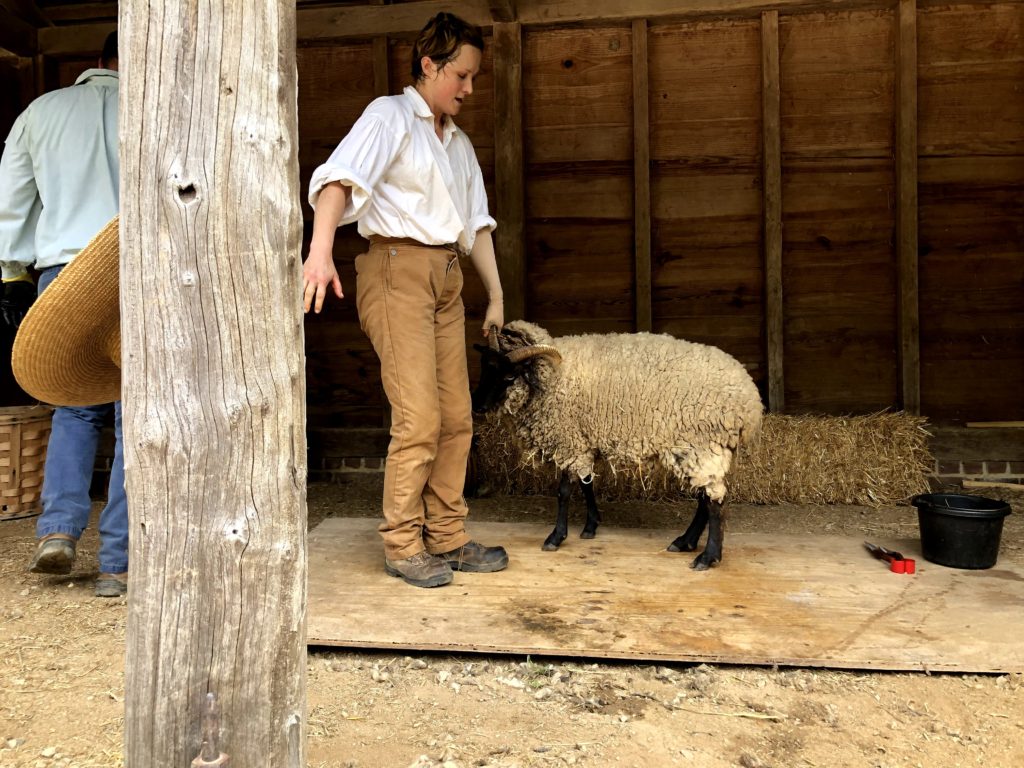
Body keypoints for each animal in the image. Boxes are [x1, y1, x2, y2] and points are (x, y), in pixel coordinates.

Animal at [471, 319, 761, 573]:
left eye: (509, 376)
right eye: (485, 367)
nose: (477, 406)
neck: (552, 378)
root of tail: (750, 402)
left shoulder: (569, 441)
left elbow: (564, 492)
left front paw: (556, 537)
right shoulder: (585, 440)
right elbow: (587, 484)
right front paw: (591, 526)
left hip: (700, 445)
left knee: (715, 500)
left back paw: (707, 557)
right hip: (700, 448)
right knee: (705, 498)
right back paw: (685, 542)